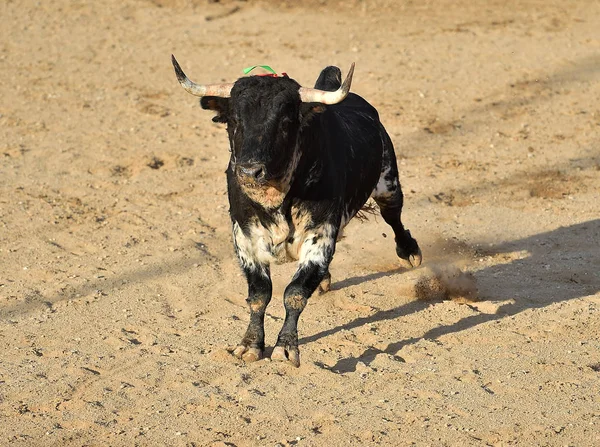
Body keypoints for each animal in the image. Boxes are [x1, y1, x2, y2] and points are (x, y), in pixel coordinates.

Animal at [171, 57, 420, 368]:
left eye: (286, 123)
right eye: (235, 121)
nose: (250, 171)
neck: (276, 198)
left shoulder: (321, 235)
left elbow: (295, 293)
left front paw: (286, 347)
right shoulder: (245, 237)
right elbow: (259, 294)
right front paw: (249, 345)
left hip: (388, 182)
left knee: (394, 217)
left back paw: (410, 252)